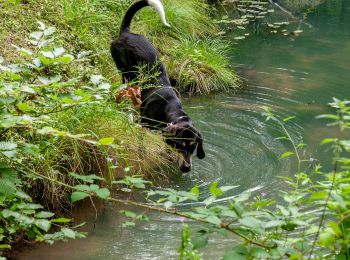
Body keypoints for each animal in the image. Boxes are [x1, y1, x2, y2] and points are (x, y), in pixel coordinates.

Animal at [110, 0, 205, 173]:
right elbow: (141, 142)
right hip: (126, 73)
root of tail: (127, 33)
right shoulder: (144, 125)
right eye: (180, 145)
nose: (187, 169)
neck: (168, 108)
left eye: (193, 147)